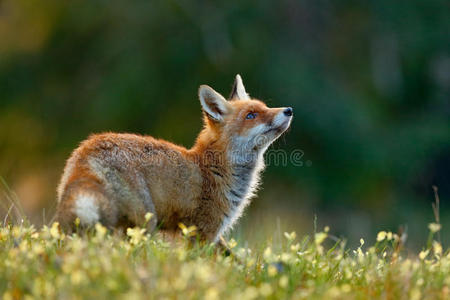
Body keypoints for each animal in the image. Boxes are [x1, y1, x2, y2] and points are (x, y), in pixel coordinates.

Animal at [55, 74, 292, 243]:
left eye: (264, 107)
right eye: (251, 116)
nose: (288, 110)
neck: (213, 167)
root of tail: (88, 150)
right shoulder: (203, 232)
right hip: (145, 221)